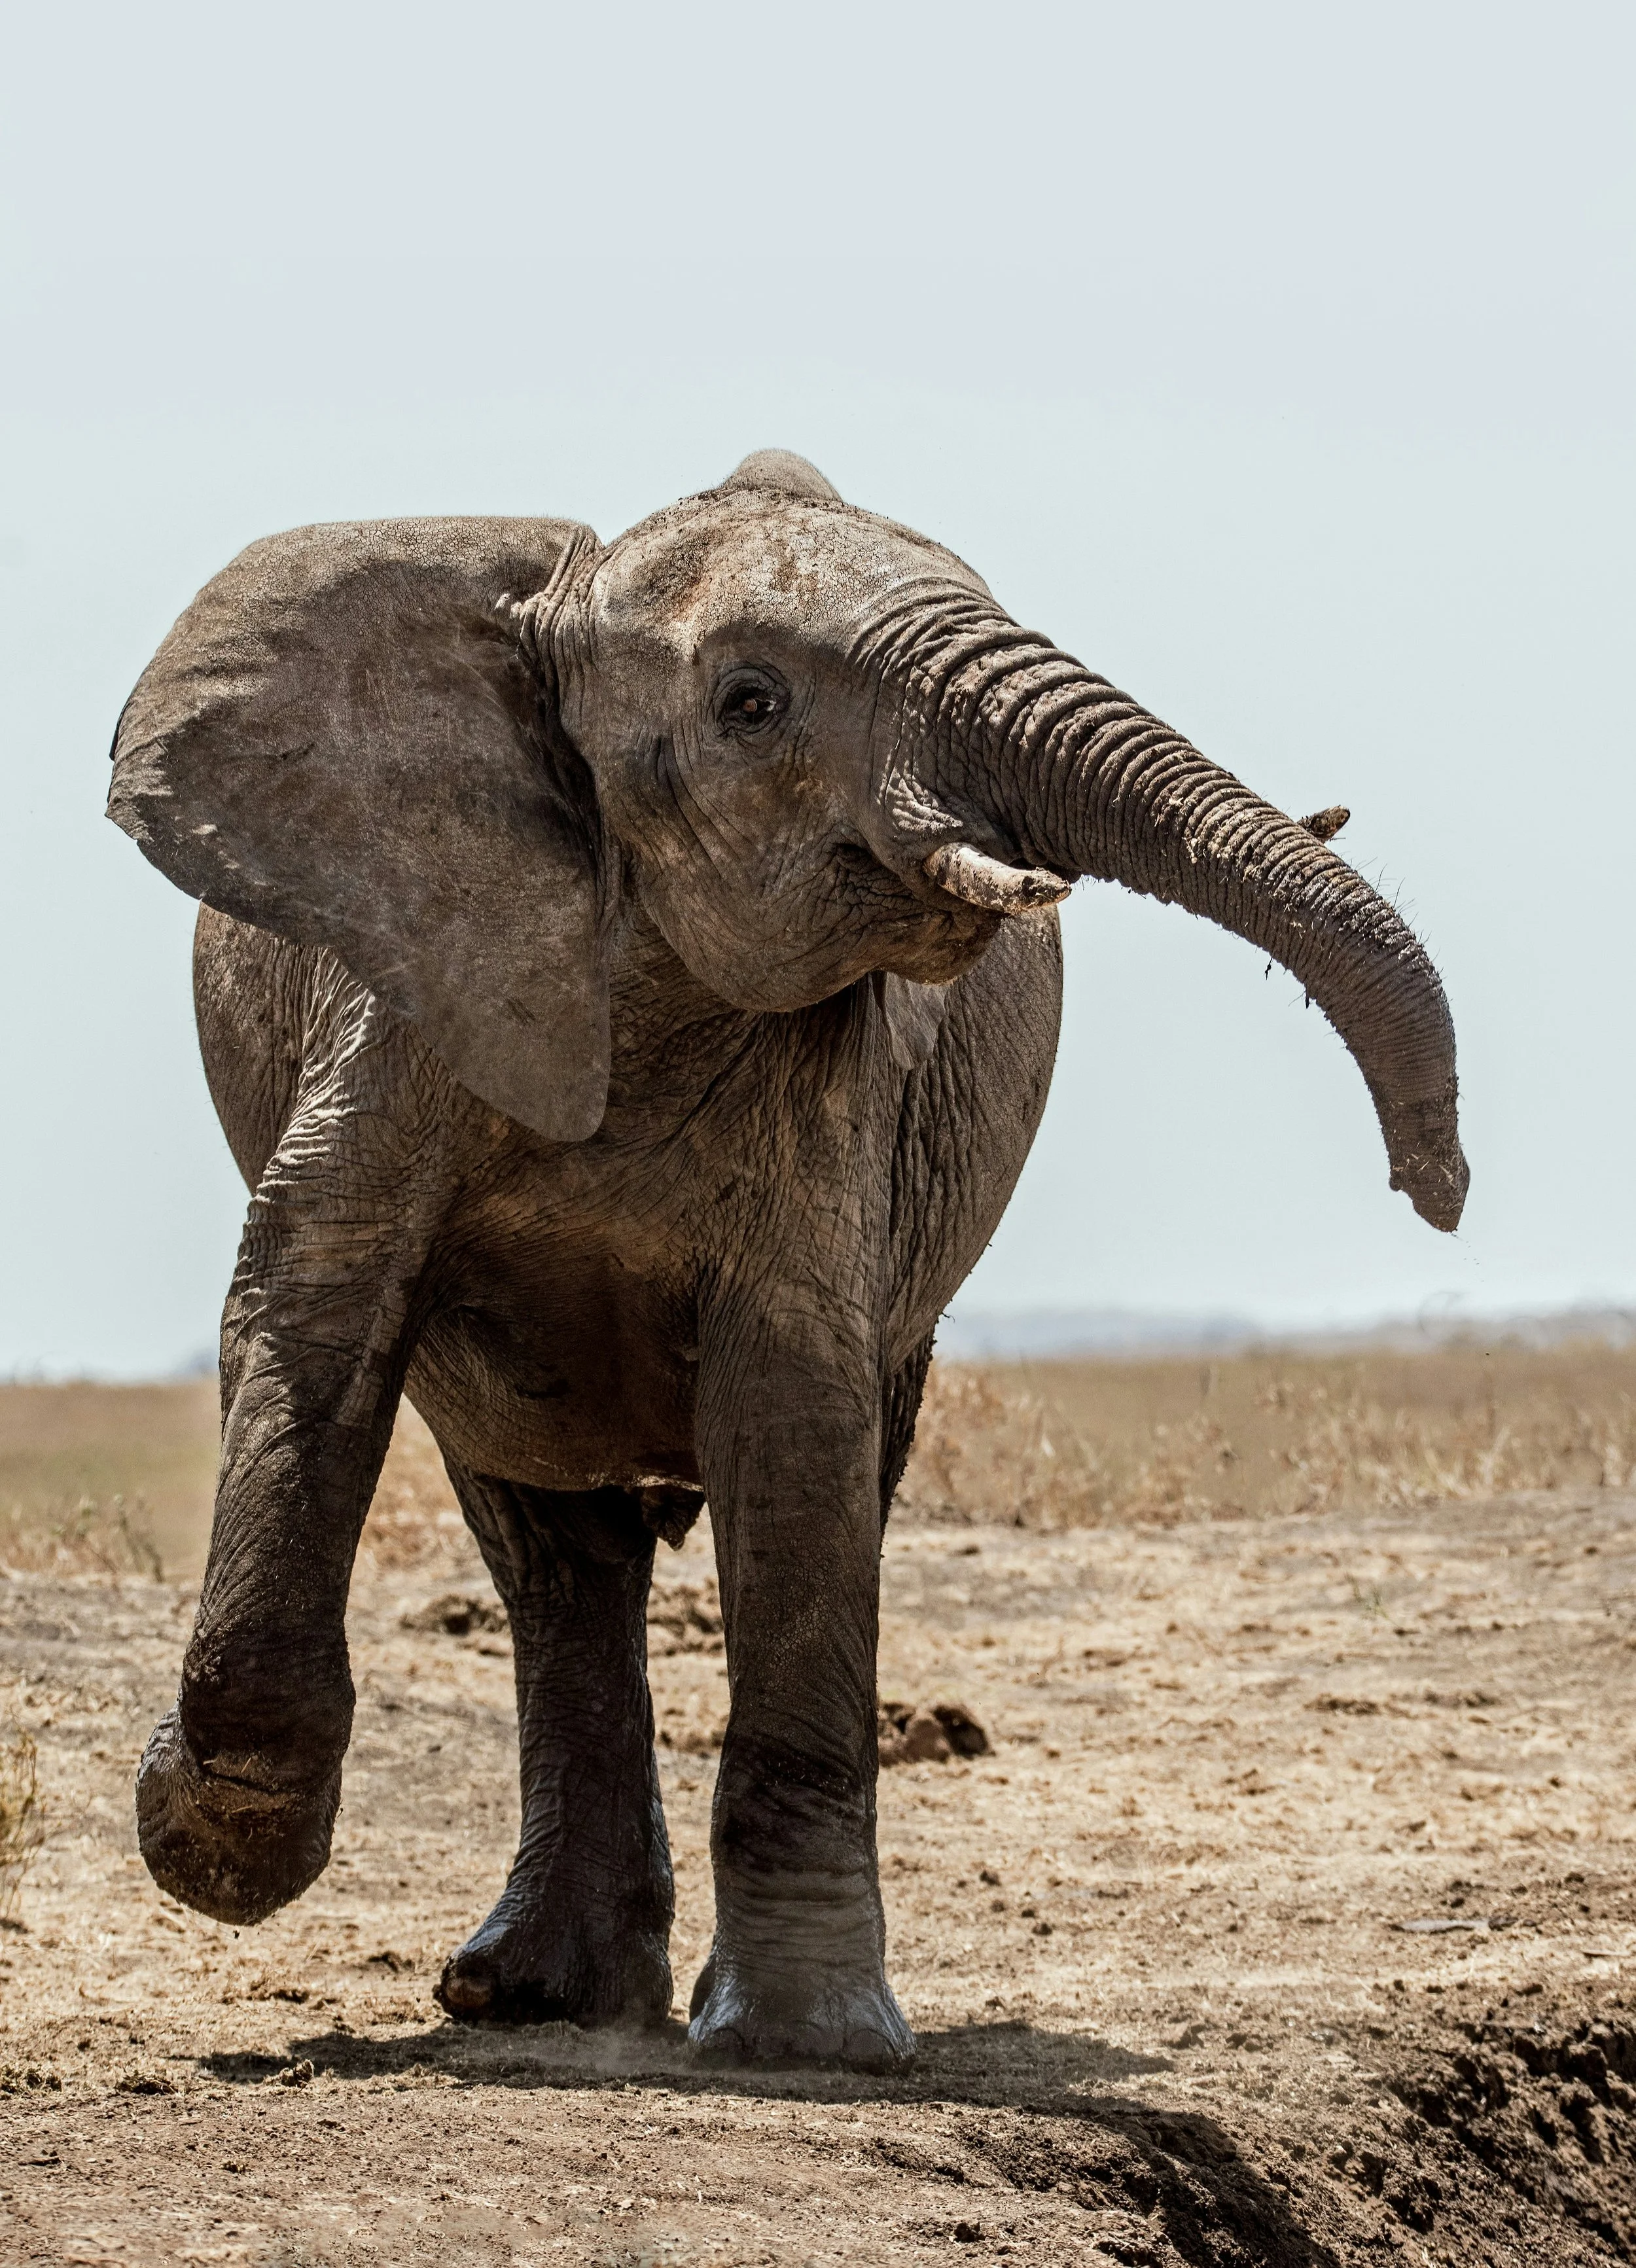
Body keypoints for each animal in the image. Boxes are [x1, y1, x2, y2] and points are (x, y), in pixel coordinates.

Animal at [107, 447, 1467, 2071]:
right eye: (751, 703)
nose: (1434, 1186)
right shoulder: (410, 982)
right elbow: (314, 1290)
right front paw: (213, 1848)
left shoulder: (836, 1085)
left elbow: (793, 1403)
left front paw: (805, 2046)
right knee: (550, 1550)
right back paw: (526, 1994)